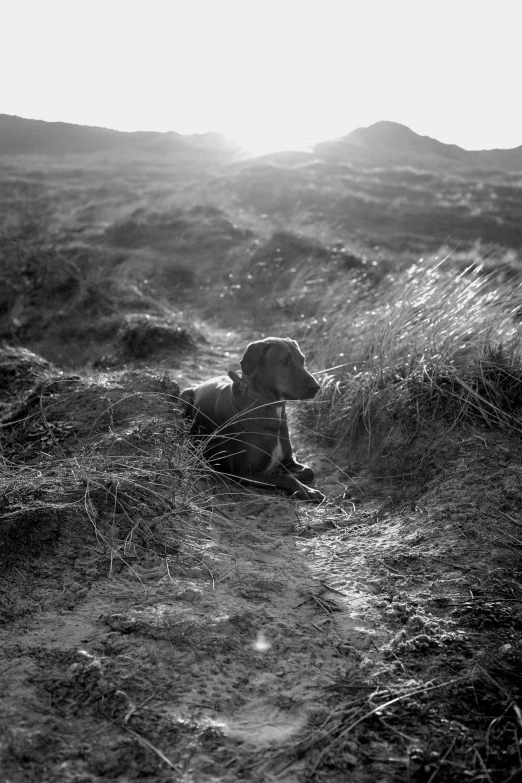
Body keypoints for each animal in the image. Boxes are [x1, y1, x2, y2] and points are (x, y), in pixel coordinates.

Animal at [181, 336, 322, 502]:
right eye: (284, 361)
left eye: (302, 359)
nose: (316, 387)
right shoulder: (243, 473)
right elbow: (285, 478)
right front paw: (306, 490)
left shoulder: (289, 460)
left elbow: (309, 471)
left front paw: (296, 475)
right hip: (184, 396)